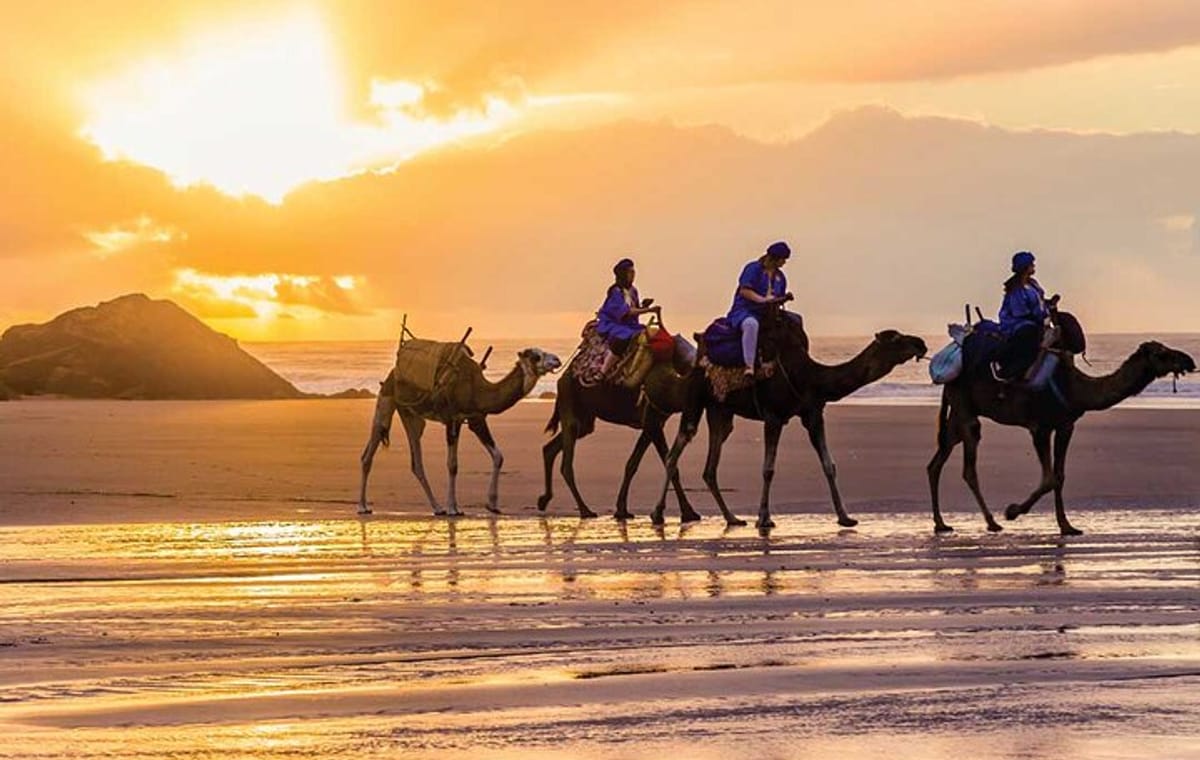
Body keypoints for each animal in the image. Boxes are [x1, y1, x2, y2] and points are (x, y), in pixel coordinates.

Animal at [358, 347, 562, 516]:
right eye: (536, 356)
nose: (557, 360)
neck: (477, 389)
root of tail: (393, 372)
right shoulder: (451, 418)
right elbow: (452, 465)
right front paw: (452, 509)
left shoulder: (475, 418)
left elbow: (498, 456)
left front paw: (492, 505)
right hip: (386, 399)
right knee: (371, 448)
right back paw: (363, 507)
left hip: (411, 415)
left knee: (416, 460)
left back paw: (437, 508)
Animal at [538, 347, 700, 521]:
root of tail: (562, 378)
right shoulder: (652, 421)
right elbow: (671, 465)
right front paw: (688, 512)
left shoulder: (652, 425)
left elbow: (632, 464)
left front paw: (621, 510)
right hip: (570, 404)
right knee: (566, 464)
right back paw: (585, 510)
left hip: (585, 420)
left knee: (550, 448)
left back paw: (544, 500)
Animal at [656, 307, 929, 528]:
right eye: (896, 338)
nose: (921, 343)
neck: (810, 377)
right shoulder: (773, 416)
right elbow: (768, 469)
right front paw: (764, 518)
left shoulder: (813, 413)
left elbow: (829, 465)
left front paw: (845, 517)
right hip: (696, 396)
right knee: (677, 449)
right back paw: (659, 514)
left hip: (720, 409)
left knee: (711, 465)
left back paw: (732, 518)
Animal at [927, 340, 1195, 535]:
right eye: (1161, 354)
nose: (1189, 360)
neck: (1076, 388)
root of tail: (947, 380)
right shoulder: (1040, 427)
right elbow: (1048, 478)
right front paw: (1012, 511)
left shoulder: (1066, 425)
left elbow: (1060, 476)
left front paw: (1067, 527)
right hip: (964, 408)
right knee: (968, 466)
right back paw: (992, 523)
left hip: (958, 413)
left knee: (936, 463)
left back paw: (941, 524)